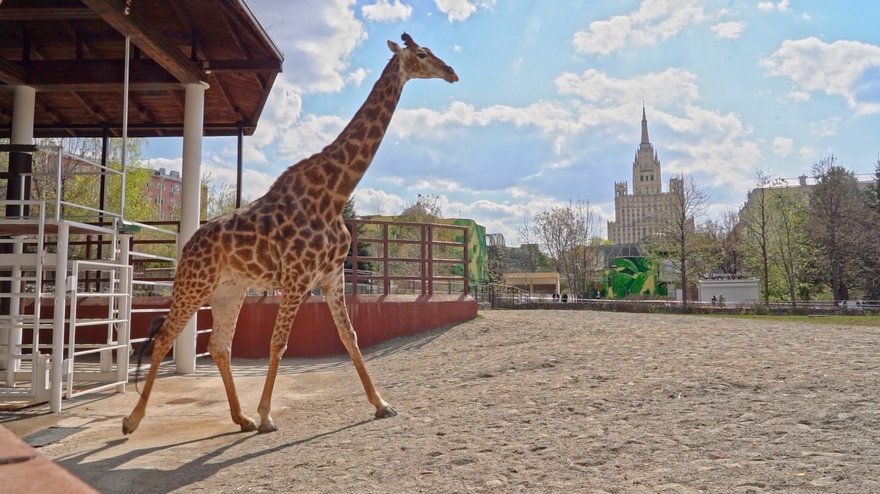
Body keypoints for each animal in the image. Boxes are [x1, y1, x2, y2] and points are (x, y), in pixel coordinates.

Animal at [124, 32, 460, 434]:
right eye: (422, 54)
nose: (452, 72)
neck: (334, 194)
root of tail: (187, 246)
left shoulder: (330, 277)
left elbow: (350, 338)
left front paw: (381, 404)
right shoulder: (297, 277)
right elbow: (278, 343)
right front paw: (267, 414)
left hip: (228, 290)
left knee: (219, 345)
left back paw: (241, 418)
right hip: (194, 285)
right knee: (163, 339)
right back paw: (132, 420)